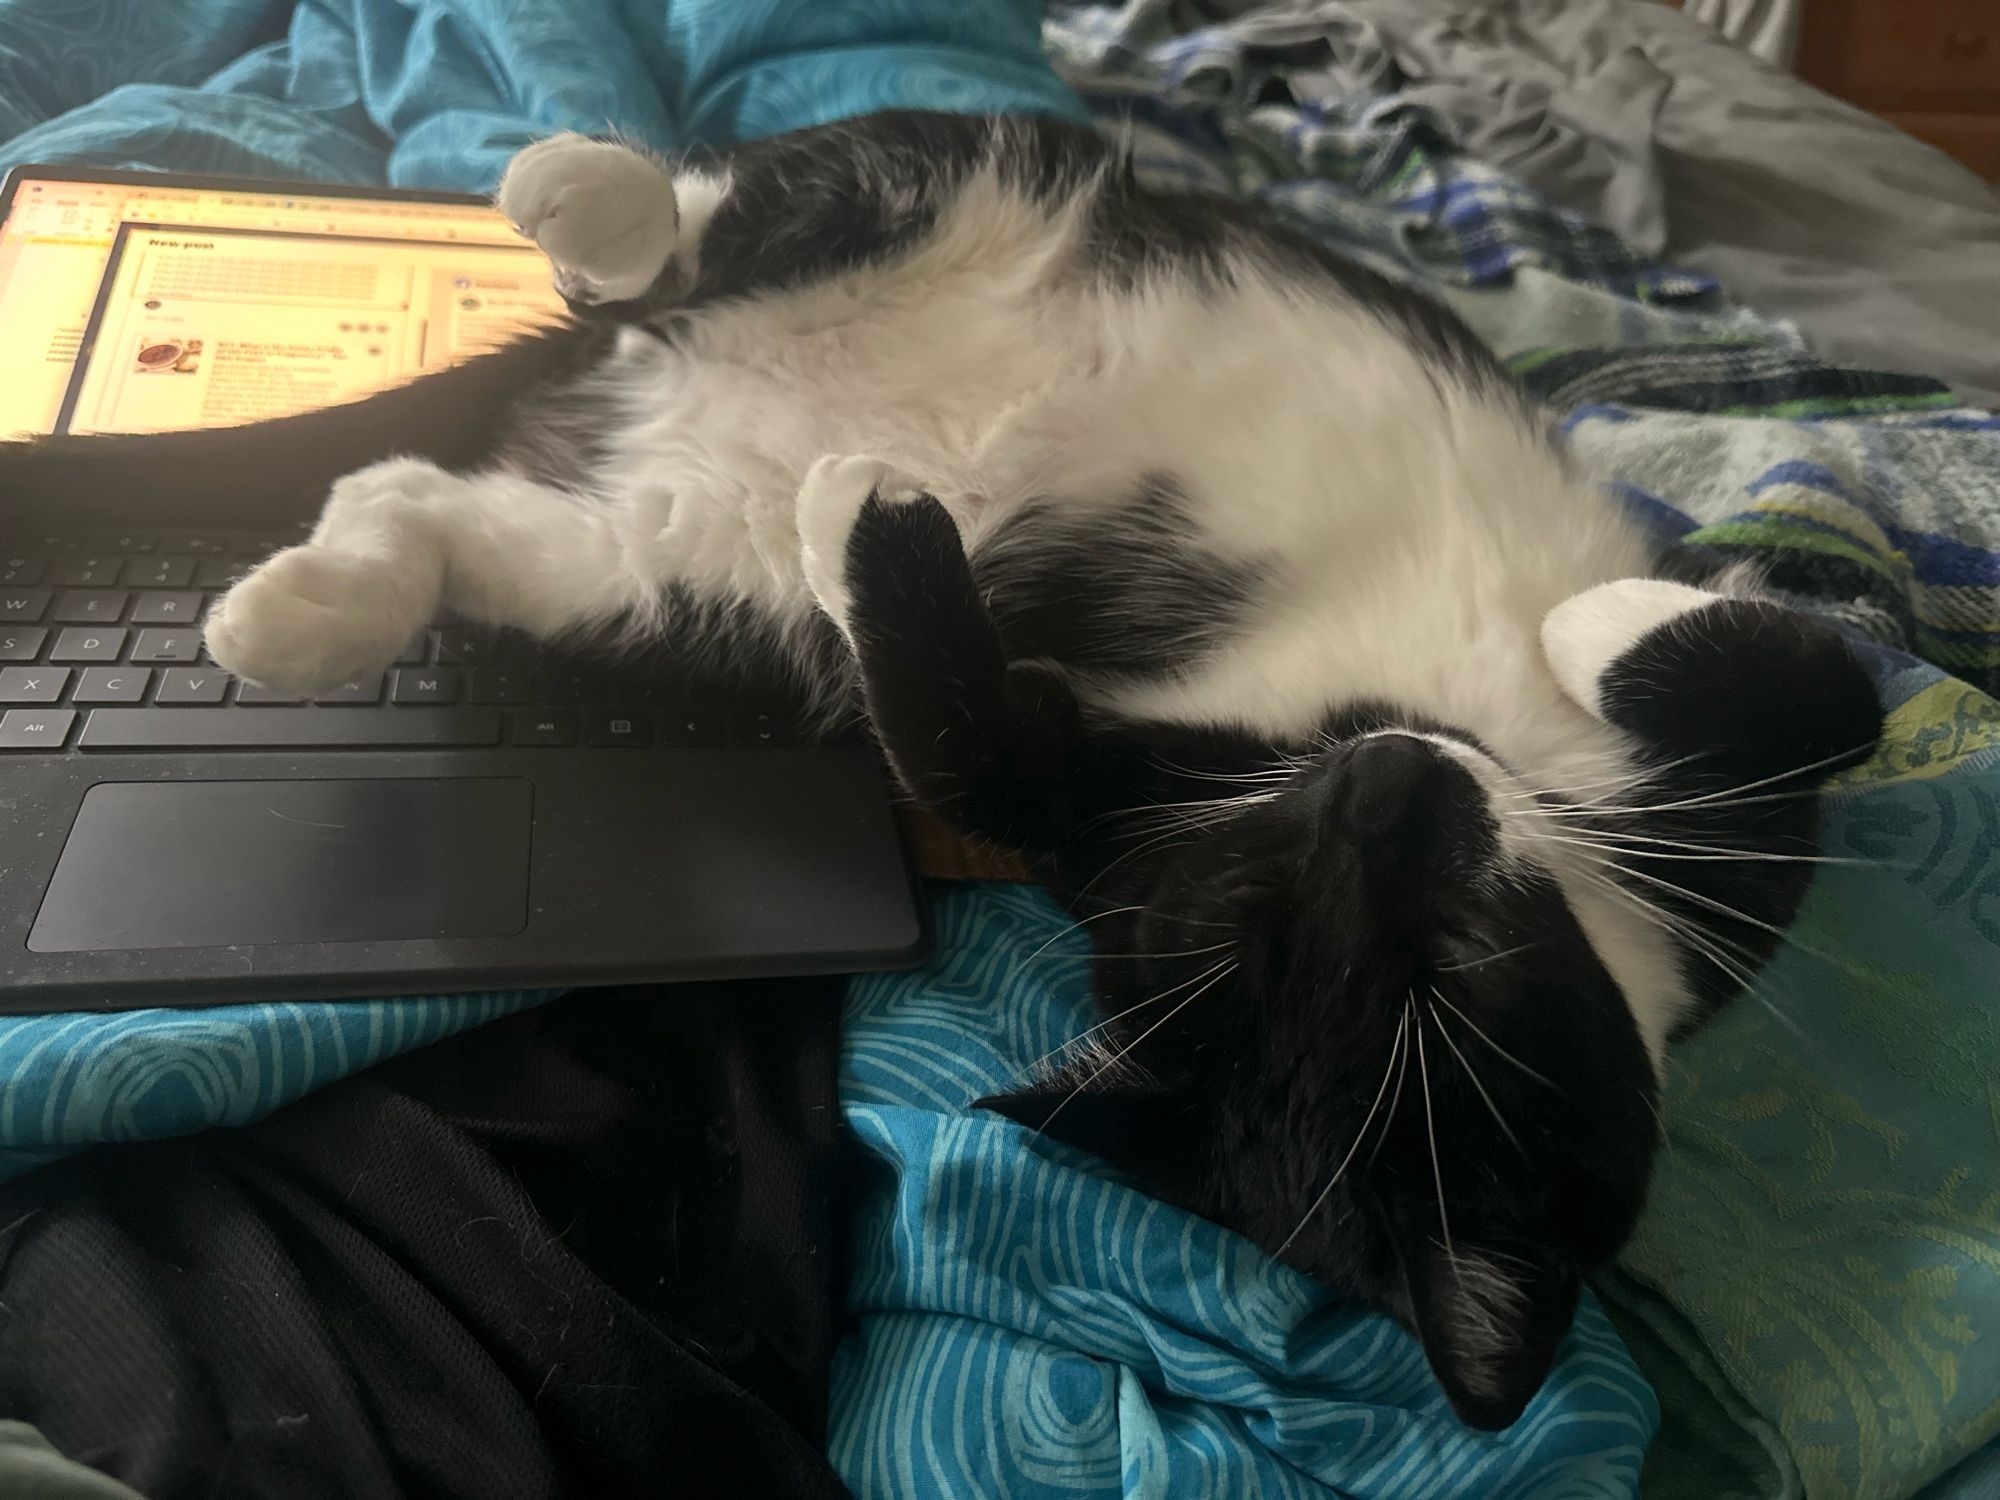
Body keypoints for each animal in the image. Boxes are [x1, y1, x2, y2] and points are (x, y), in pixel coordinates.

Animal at [23, 111, 1880, 1424]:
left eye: (1416, 970)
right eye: (1298, 873)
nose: (1383, 787)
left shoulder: (1100, 792)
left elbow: (975, 746)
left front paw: (873, 523)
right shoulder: (1751, 867)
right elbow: (1824, 678)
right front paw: (1609, 618)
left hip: (666, 570)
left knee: (428, 503)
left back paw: (310, 605)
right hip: (990, 178)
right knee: (736, 223)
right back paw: (586, 197)